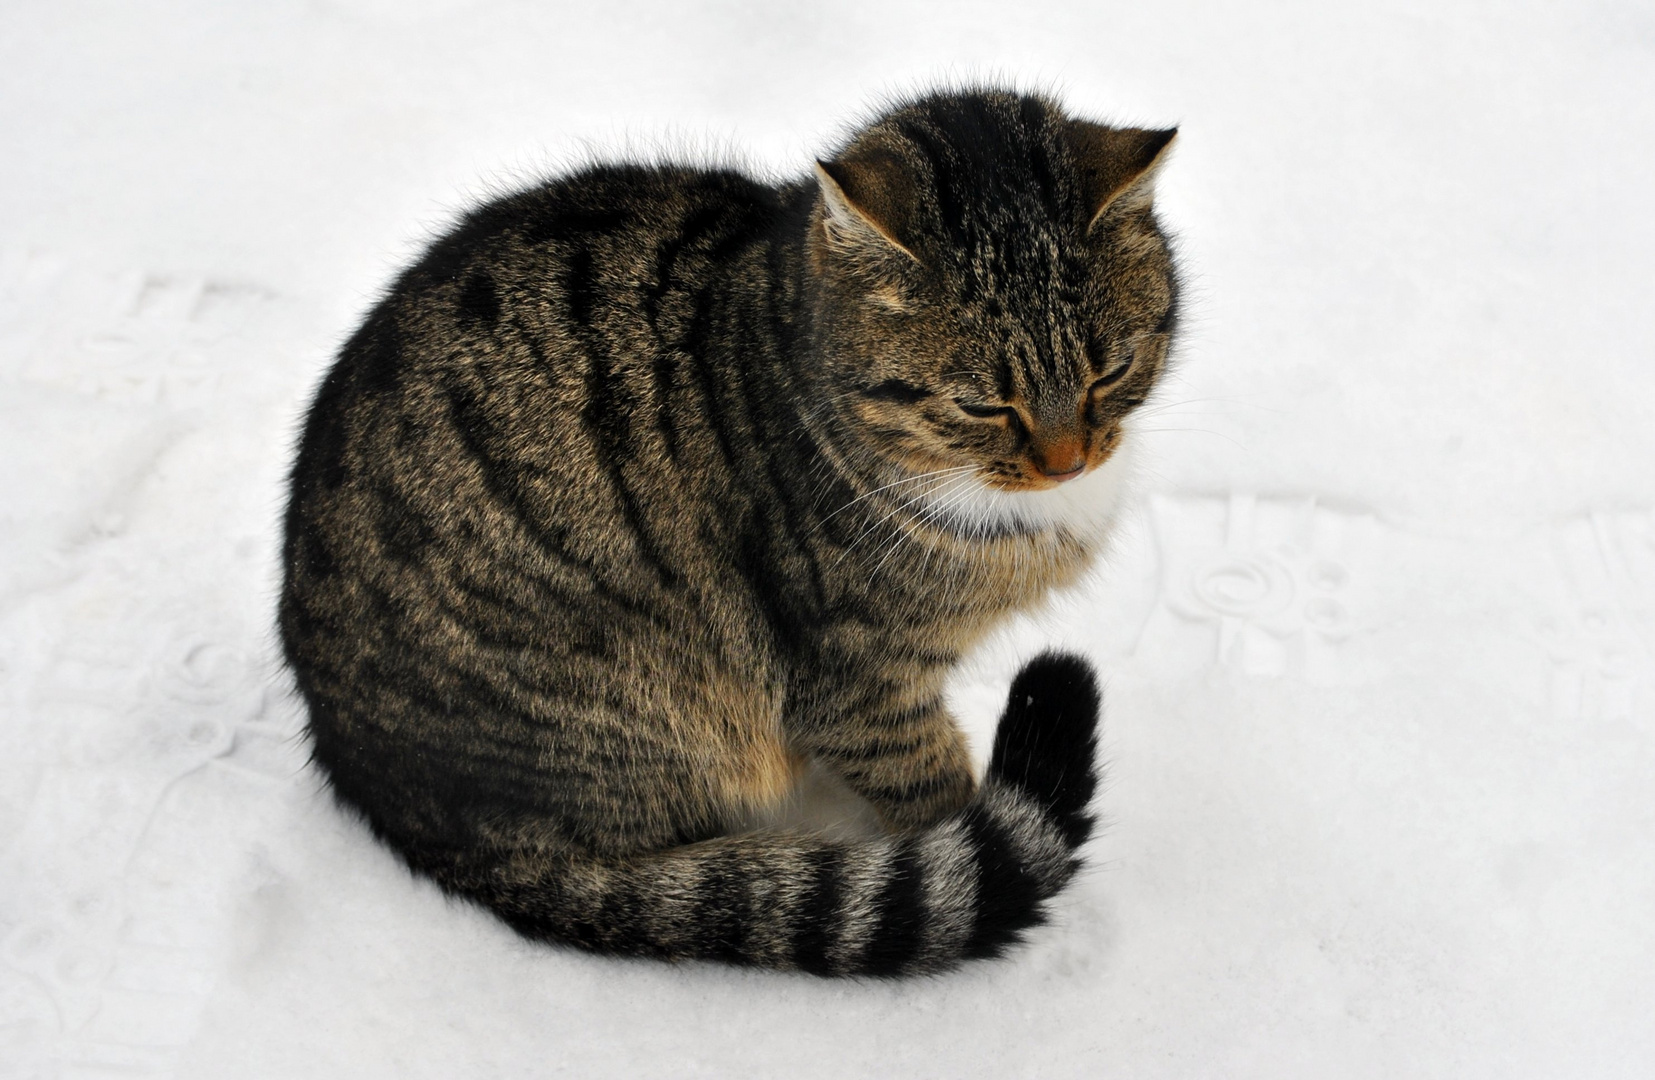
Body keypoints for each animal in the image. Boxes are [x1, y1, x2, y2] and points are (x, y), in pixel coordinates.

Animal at [278, 88, 1178, 972]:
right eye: (983, 405)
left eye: (1110, 371)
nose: (1067, 462)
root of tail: (412, 821)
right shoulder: (856, 683)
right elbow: (930, 788)